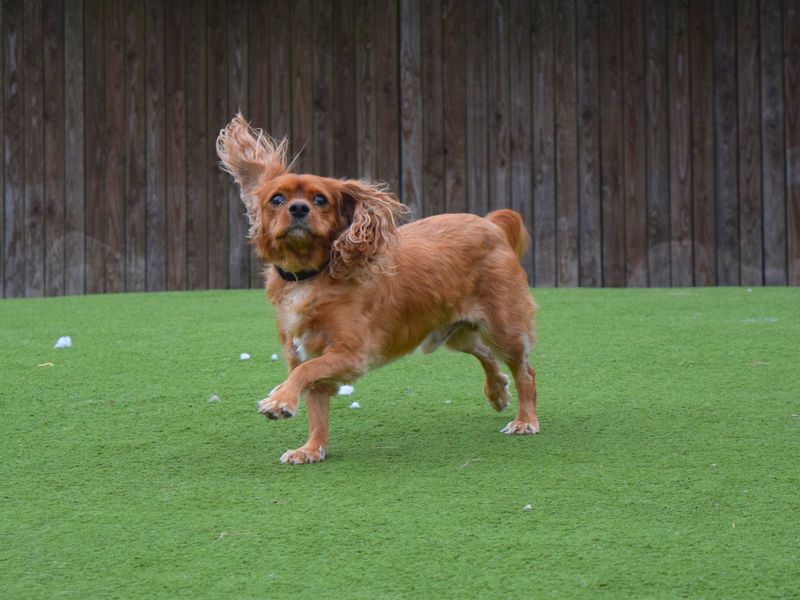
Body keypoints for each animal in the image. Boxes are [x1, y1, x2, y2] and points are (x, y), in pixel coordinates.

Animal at [217, 115, 536, 466]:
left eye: (320, 199)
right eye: (277, 199)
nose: (299, 209)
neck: (310, 276)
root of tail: (490, 223)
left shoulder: (350, 353)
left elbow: (304, 375)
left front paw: (279, 401)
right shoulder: (307, 351)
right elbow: (316, 404)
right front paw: (312, 448)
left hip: (503, 327)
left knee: (525, 370)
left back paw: (525, 420)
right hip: (456, 333)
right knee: (485, 353)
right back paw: (497, 390)